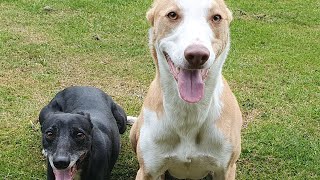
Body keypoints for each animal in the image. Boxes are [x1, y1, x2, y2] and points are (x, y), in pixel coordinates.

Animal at [129, 0, 241, 179]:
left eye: (216, 17)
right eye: (172, 14)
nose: (197, 55)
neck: (189, 114)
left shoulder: (226, 170)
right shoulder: (147, 172)